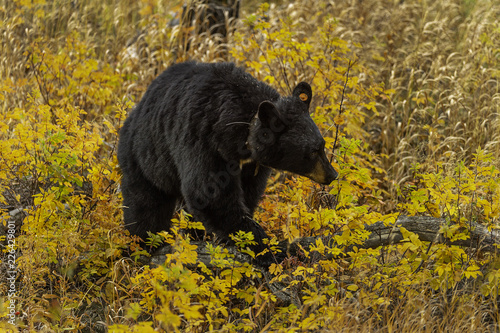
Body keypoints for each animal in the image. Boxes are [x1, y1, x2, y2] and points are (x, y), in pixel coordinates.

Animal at [117, 61, 338, 264]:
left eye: (322, 145)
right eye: (313, 151)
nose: (332, 174)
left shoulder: (250, 166)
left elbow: (247, 192)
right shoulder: (203, 139)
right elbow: (209, 193)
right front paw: (267, 248)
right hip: (145, 159)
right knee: (146, 208)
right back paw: (144, 245)